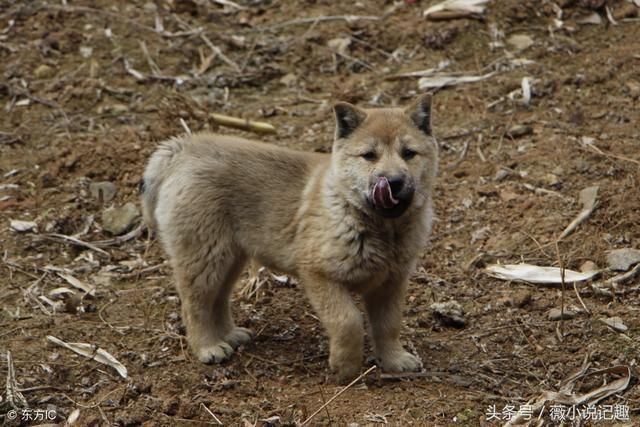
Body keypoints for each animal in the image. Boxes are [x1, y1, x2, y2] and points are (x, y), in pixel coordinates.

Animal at [142, 95, 438, 382]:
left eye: (409, 153)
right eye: (369, 156)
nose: (394, 181)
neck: (380, 227)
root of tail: (183, 148)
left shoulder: (391, 283)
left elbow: (389, 325)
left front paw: (394, 360)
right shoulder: (319, 275)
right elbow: (348, 321)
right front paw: (345, 368)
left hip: (229, 258)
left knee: (218, 299)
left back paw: (229, 335)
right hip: (205, 257)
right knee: (195, 305)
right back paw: (208, 347)